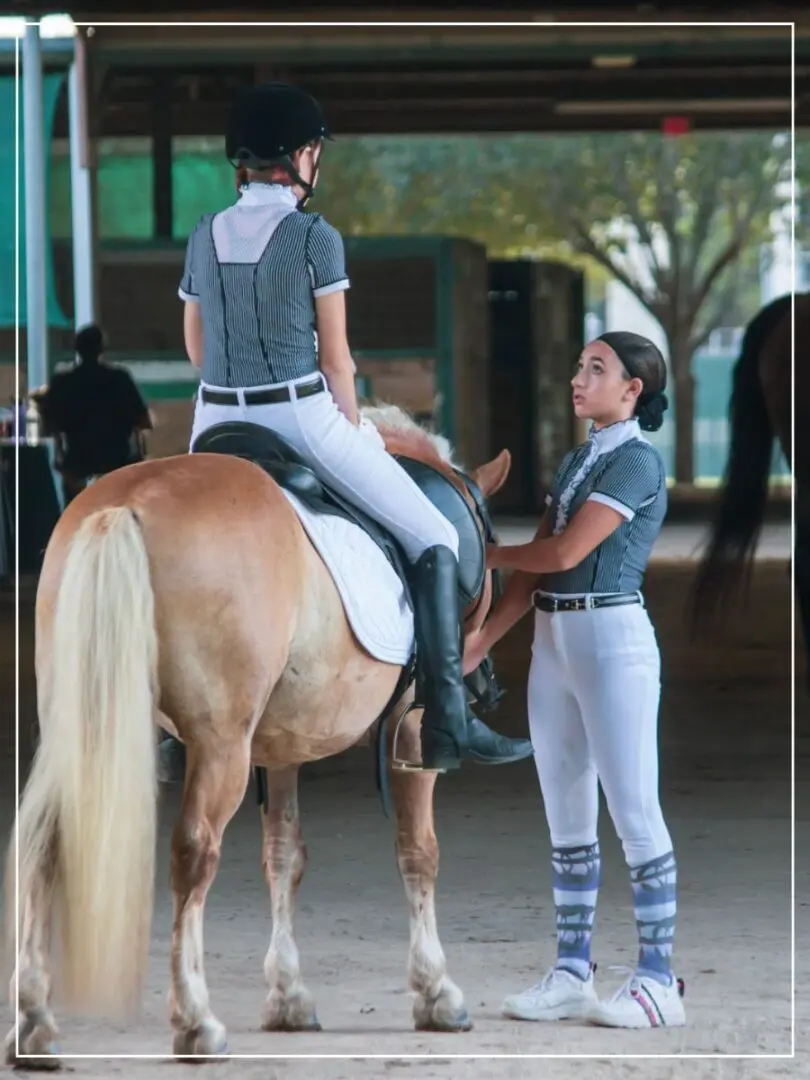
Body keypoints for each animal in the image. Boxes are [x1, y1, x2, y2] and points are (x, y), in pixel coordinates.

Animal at [4, 403, 514, 1062]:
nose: (487, 685)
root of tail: (125, 506)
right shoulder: (411, 731)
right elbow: (418, 851)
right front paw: (437, 992)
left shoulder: (282, 742)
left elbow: (283, 854)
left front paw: (289, 996)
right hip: (220, 746)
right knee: (194, 852)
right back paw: (196, 1021)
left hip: (80, 720)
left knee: (43, 843)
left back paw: (34, 1021)